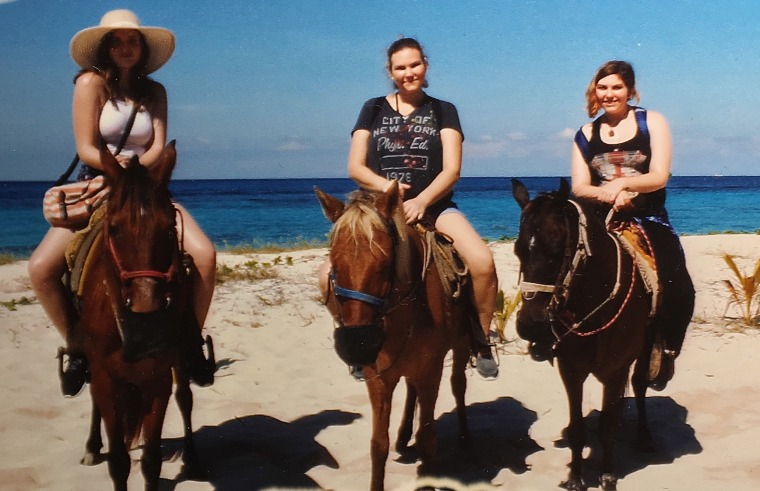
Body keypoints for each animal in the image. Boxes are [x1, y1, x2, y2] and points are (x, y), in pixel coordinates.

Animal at [76, 141, 205, 488]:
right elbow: (119, 461)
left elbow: (151, 461)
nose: (148, 325)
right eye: (114, 229)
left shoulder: (156, 378)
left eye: (169, 229)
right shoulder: (105, 377)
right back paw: (92, 447)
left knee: (185, 397)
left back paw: (193, 460)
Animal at [316, 183, 476, 490]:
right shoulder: (377, 377)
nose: (357, 345)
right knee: (412, 390)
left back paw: (465, 436)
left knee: (458, 384)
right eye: (334, 264)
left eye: (385, 262)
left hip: (461, 345)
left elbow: (427, 438)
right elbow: (378, 444)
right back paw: (403, 436)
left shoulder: (431, 371)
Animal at [510, 180, 696, 491]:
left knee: (640, 384)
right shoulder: (570, 370)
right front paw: (575, 477)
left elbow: (608, 427)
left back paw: (643, 437)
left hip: (647, 345)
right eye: (518, 250)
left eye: (557, 247)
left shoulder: (615, 370)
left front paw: (607, 475)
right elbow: (577, 428)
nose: (530, 325)